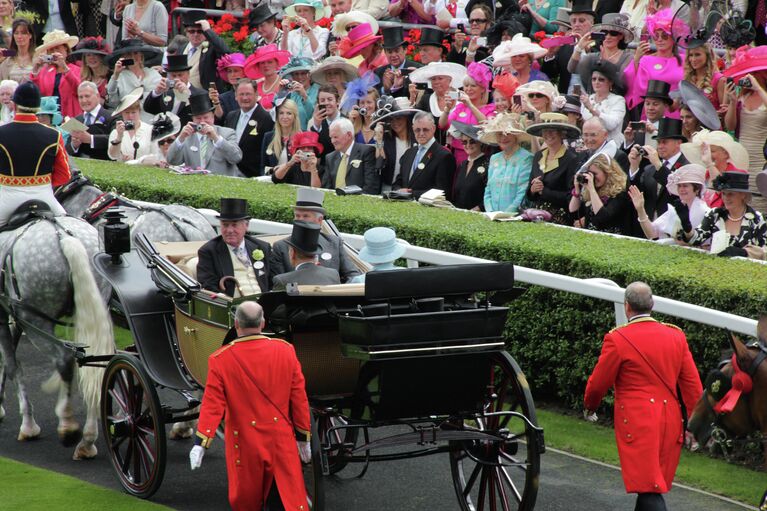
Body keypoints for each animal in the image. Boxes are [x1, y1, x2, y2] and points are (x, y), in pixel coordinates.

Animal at [0, 216, 114, 460]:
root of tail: (63, 235)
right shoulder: (12, 314)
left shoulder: (7, 314)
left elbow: (12, 365)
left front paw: (28, 425)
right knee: (94, 367)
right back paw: (87, 441)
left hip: (35, 318)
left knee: (64, 359)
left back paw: (68, 426)